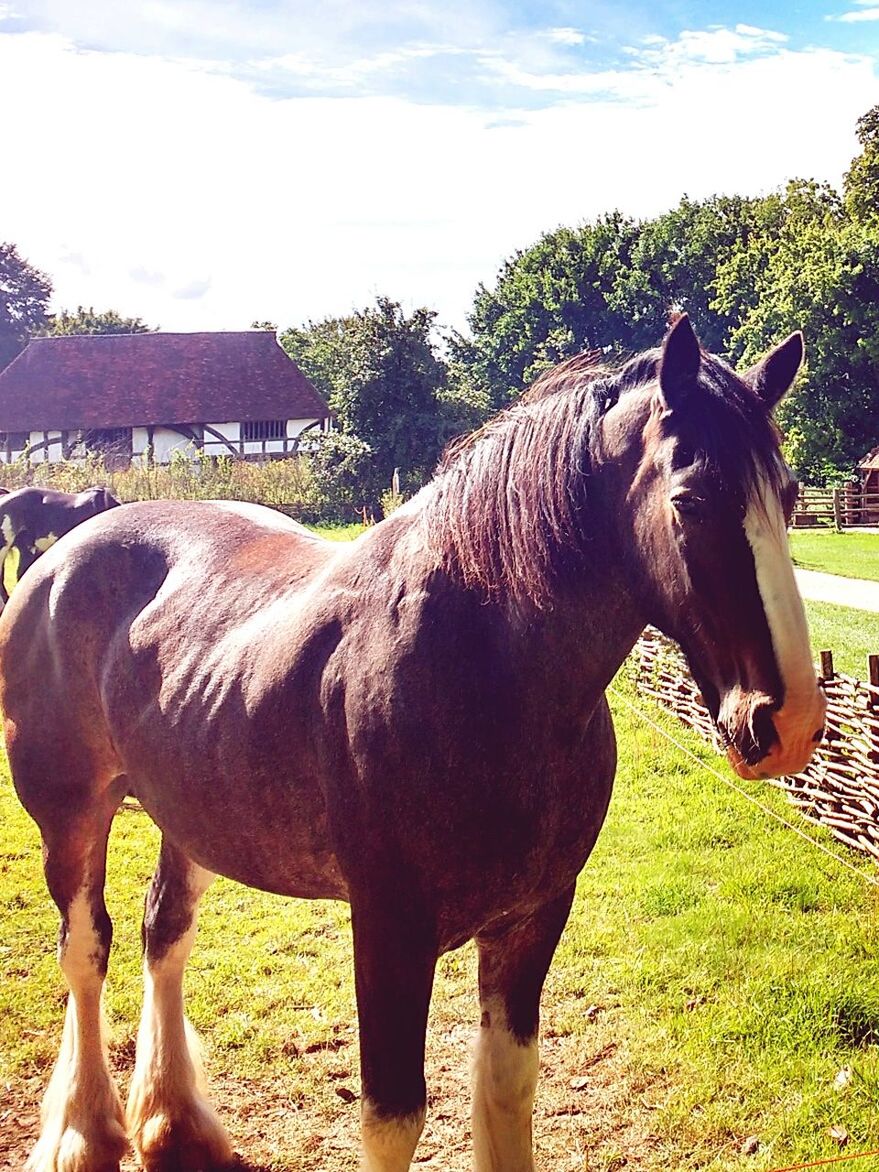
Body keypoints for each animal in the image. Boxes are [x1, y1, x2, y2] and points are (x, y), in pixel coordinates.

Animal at [0, 316, 825, 1172]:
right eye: (691, 501)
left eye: (788, 496)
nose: (788, 721)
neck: (480, 661)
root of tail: (63, 555)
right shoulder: (390, 929)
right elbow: (392, 1116)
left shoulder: (532, 919)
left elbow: (505, 1091)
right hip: (71, 818)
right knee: (85, 950)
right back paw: (84, 1132)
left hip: (188, 815)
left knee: (164, 934)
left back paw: (174, 1123)